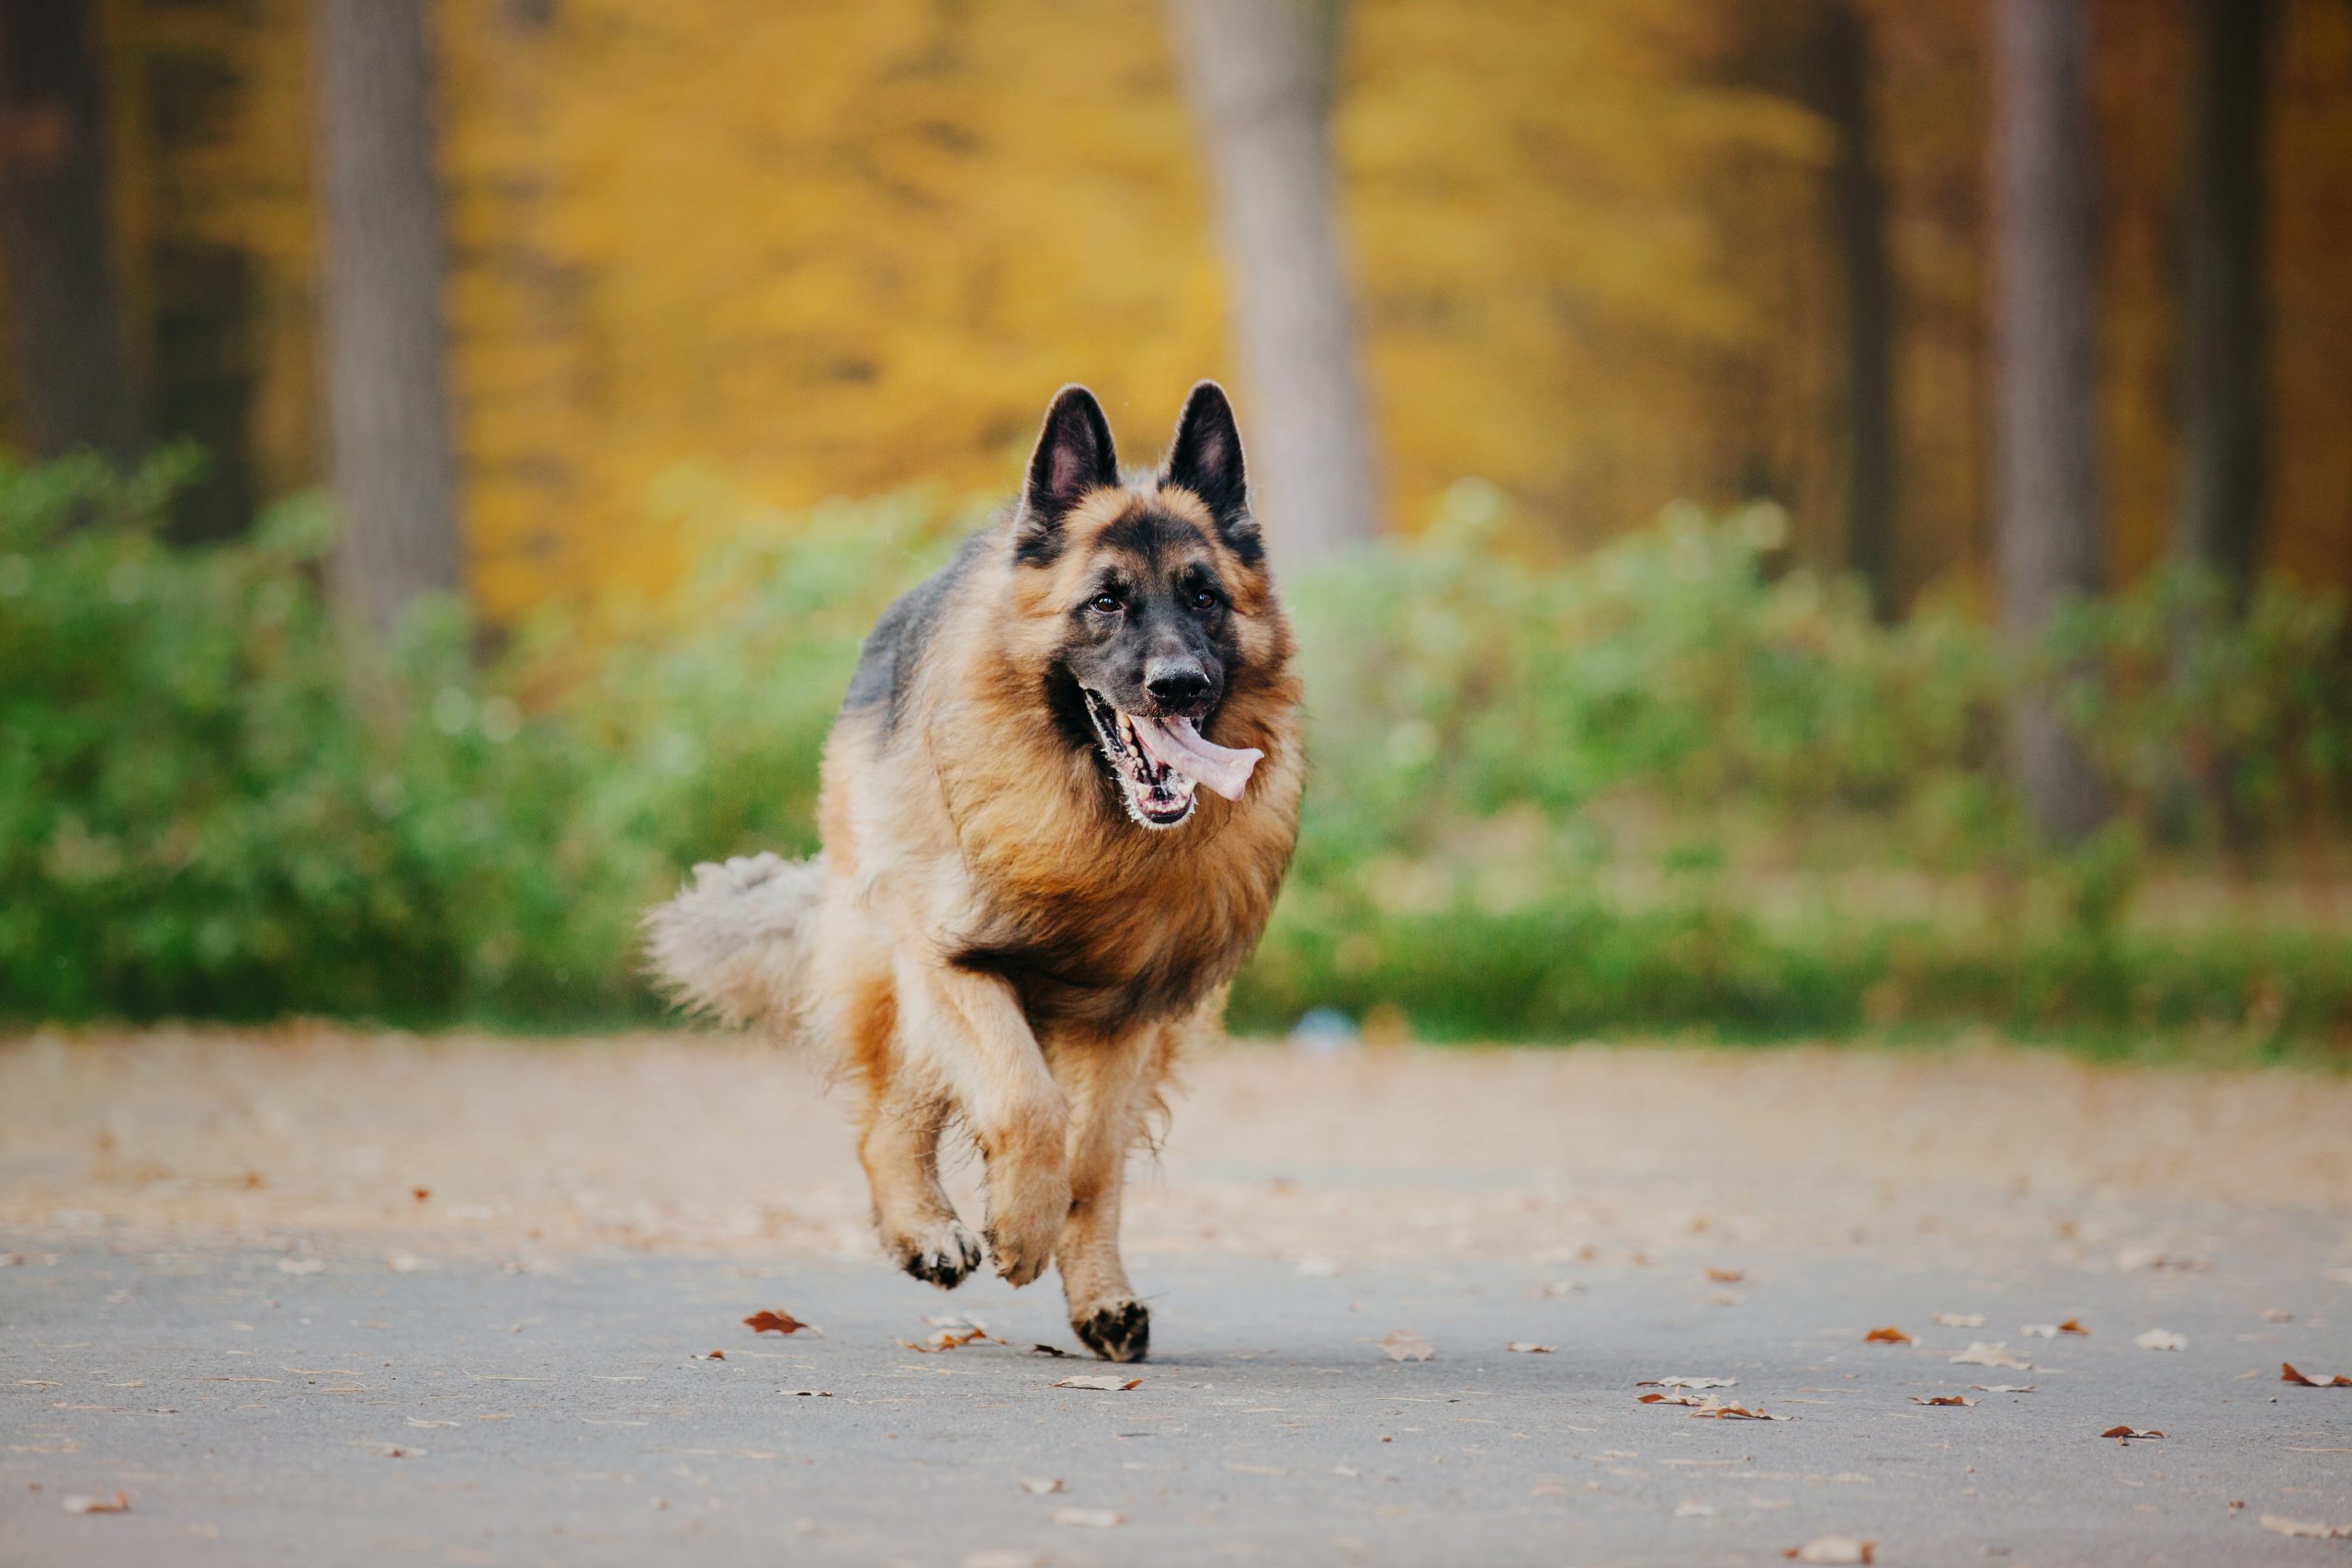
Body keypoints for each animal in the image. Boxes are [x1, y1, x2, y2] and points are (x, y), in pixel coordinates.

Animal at [644, 383, 1307, 1363]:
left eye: (1204, 594)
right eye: (1105, 601)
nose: (1180, 684)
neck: (1096, 831)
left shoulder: (1128, 1012)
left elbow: (1091, 1156)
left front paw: (1085, 1278)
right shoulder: (951, 962)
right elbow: (1029, 1107)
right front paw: (1019, 1227)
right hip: (890, 962)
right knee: (889, 1116)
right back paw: (925, 1228)